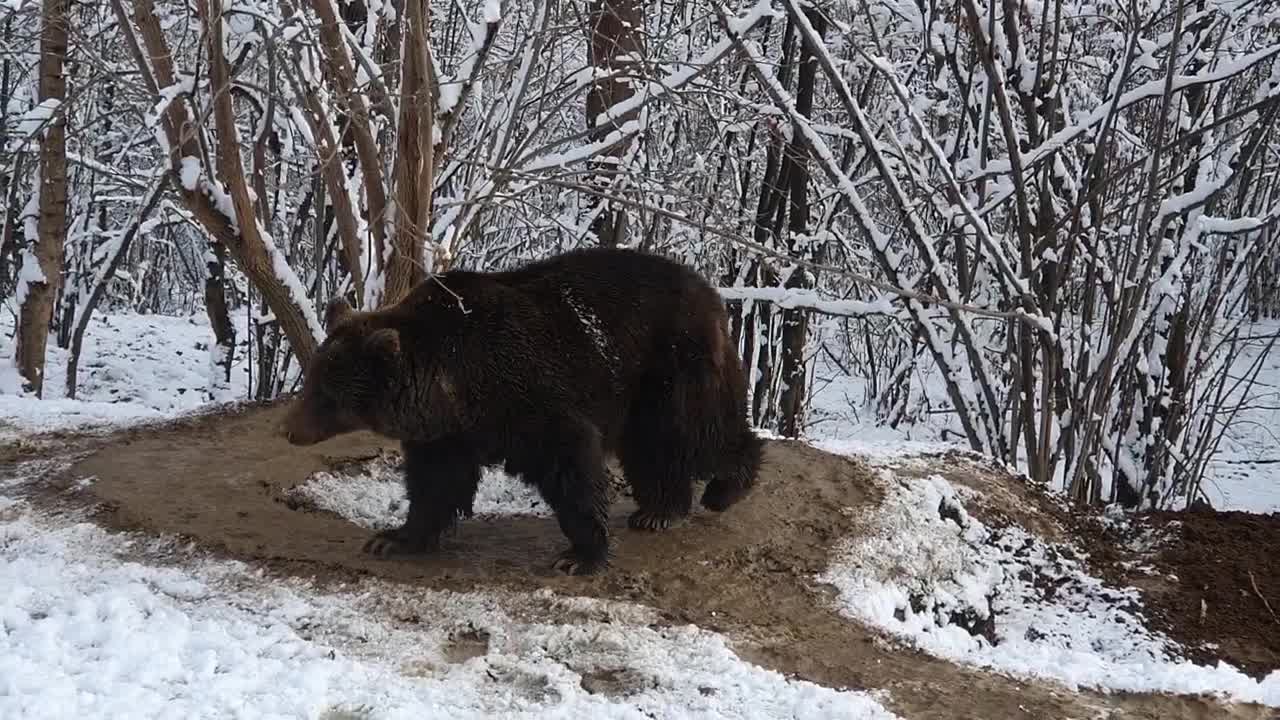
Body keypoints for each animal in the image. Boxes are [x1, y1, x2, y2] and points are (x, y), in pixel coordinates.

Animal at [280, 245, 757, 571]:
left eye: (329, 394)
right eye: (312, 379)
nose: (290, 429)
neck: (453, 386)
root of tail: (710, 290)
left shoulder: (528, 397)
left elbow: (570, 464)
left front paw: (580, 554)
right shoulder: (450, 431)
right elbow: (435, 483)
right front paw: (393, 537)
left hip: (669, 364)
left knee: (693, 432)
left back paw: (722, 489)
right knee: (652, 448)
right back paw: (659, 509)